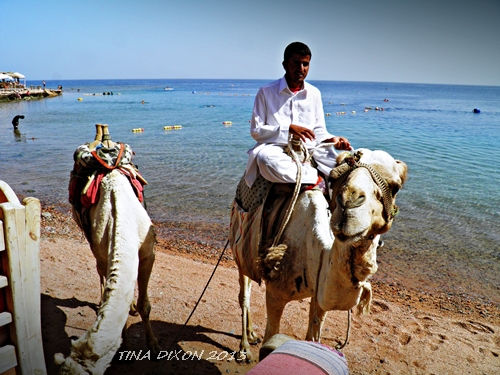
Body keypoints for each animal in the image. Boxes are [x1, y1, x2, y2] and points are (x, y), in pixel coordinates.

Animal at [55, 169, 160, 374]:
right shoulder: (103, 255)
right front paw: (125, 349)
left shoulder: (148, 254)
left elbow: (144, 305)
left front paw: (153, 346)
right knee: (100, 273)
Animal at [230, 148, 406, 362]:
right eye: (334, 178)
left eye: (395, 187)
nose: (350, 200)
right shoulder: (275, 293)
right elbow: (271, 335)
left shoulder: (320, 291)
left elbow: (313, 333)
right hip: (241, 249)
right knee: (244, 294)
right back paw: (244, 348)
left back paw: (252, 335)